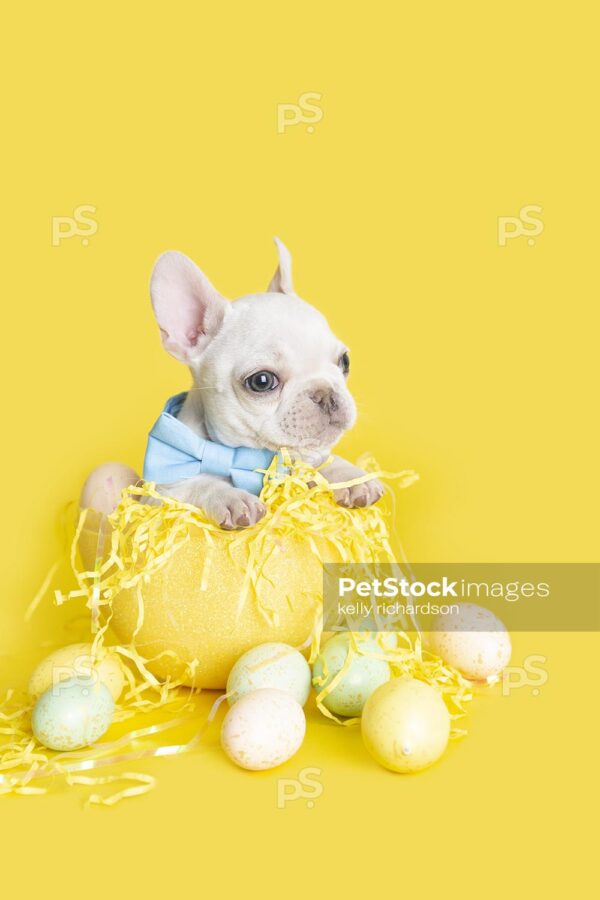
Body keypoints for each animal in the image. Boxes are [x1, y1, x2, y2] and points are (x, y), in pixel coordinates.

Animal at [148, 241, 384, 528]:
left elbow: (320, 460)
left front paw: (350, 476)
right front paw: (232, 498)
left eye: (345, 361)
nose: (326, 393)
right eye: (262, 381)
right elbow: (200, 483)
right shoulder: (164, 489)